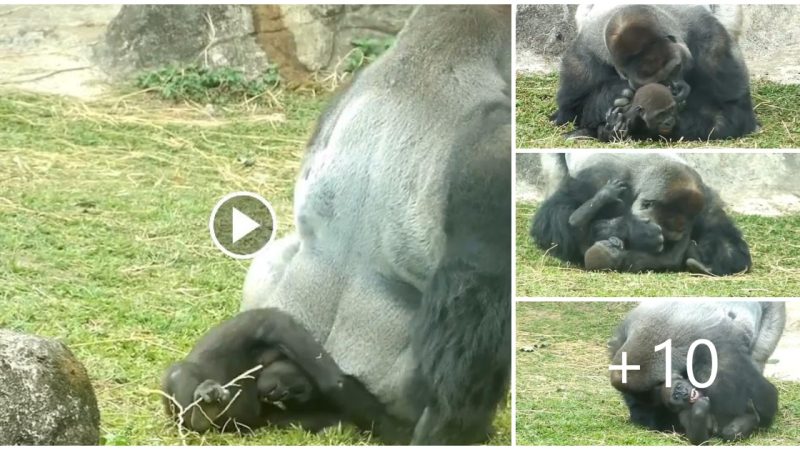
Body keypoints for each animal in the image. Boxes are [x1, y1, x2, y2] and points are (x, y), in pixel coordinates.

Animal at [162, 310, 390, 436]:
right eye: (297, 387)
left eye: (297, 395)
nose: (279, 393)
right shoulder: (279, 327)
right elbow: (334, 381)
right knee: (180, 373)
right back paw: (200, 415)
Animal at [536, 153, 752, 276]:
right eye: (664, 238)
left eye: (672, 241)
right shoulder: (598, 178)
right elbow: (559, 221)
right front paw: (636, 231)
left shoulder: (706, 201)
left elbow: (731, 248)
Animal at [552, 3, 752, 141]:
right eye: (658, 82)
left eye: (676, 68)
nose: (675, 90)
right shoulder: (580, 62)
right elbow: (569, 111)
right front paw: (611, 95)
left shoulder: (713, 46)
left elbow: (729, 111)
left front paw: (640, 127)